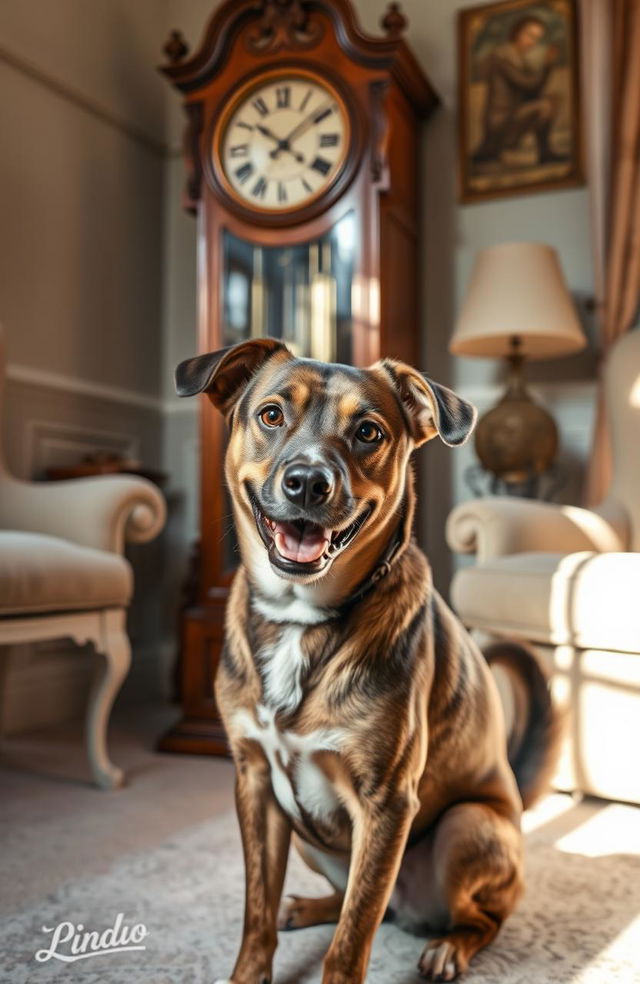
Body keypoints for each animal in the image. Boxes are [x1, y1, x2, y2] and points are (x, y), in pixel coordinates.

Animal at [176, 338, 560, 984]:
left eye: (368, 432)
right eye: (271, 414)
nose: (308, 483)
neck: (301, 619)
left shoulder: (386, 801)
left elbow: (352, 940)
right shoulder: (254, 782)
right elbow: (257, 910)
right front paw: (250, 967)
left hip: (464, 828)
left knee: (475, 917)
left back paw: (448, 948)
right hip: (309, 836)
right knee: (346, 900)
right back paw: (306, 906)